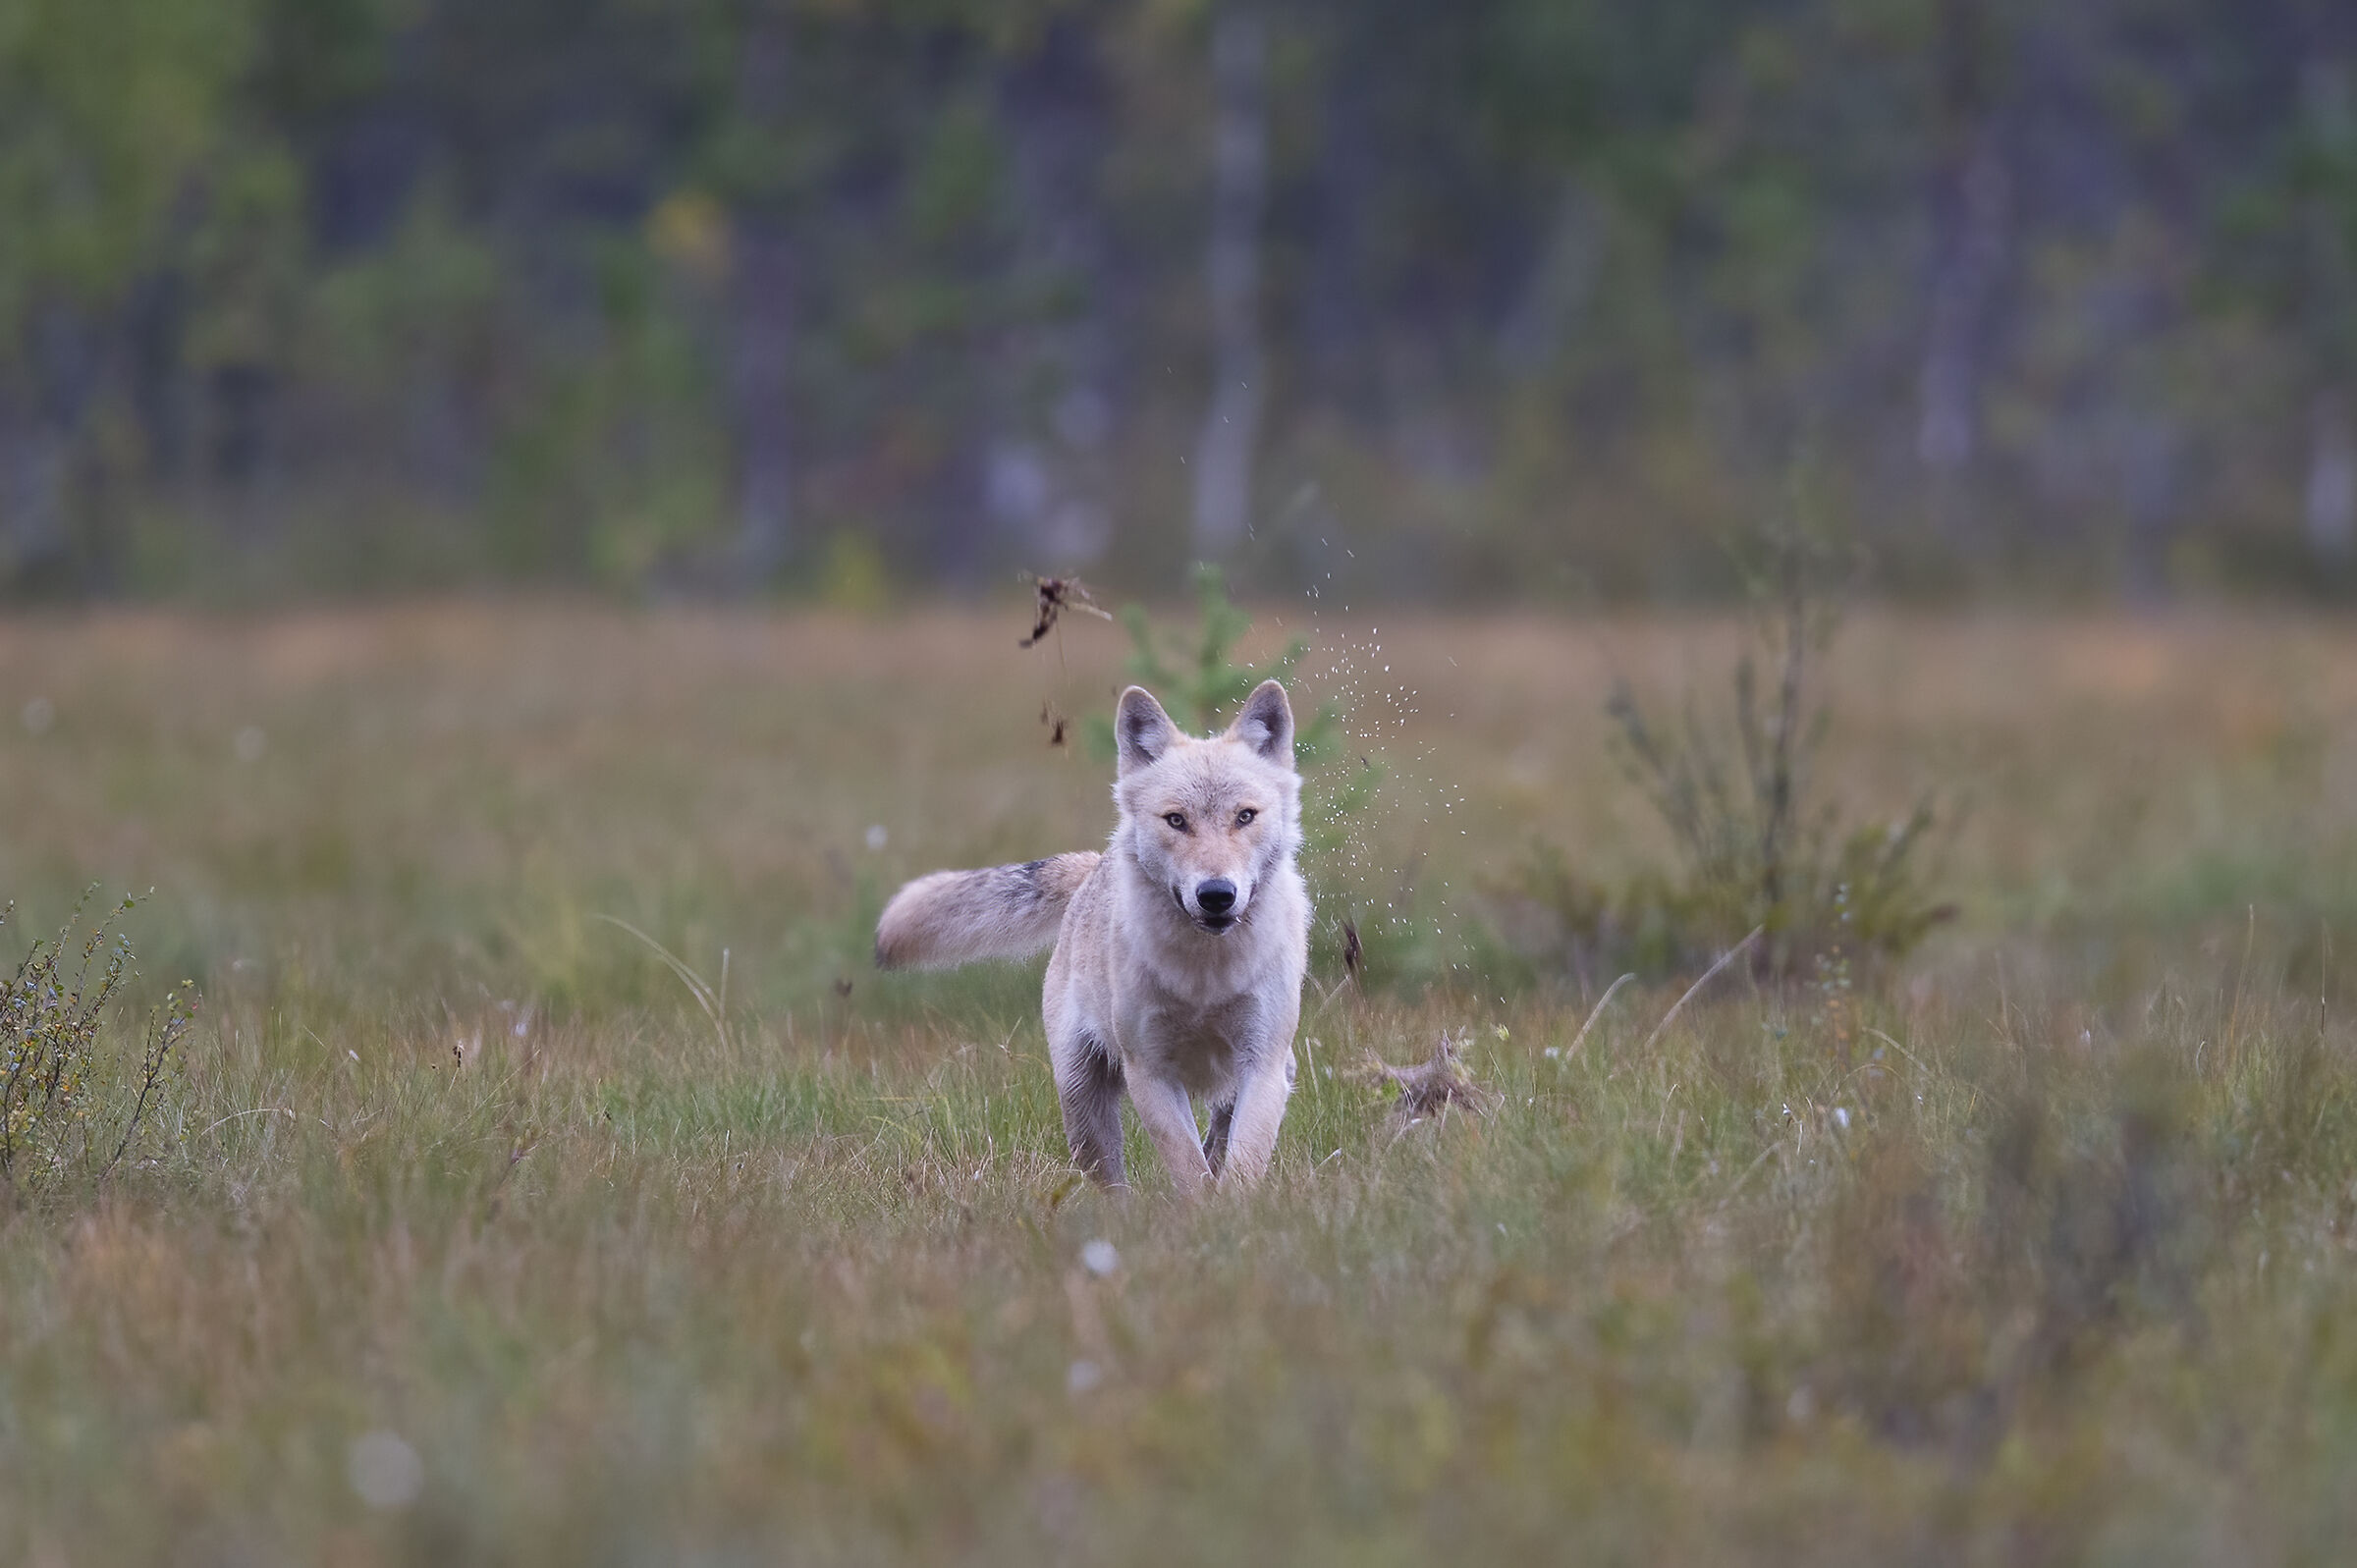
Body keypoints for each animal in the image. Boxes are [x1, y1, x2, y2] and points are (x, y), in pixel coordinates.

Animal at [875, 680, 1309, 1192]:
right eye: (1176, 820)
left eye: (1244, 816)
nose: (1217, 895)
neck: (1204, 976)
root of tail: (1093, 866)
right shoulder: (1150, 1074)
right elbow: (1189, 1170)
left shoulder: (1262, 1066)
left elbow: (1239, 1169)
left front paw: (1234, 1210)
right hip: (1083, 1109)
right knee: (1118, 1189)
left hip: (1265, 1074)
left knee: (1220, 1135)